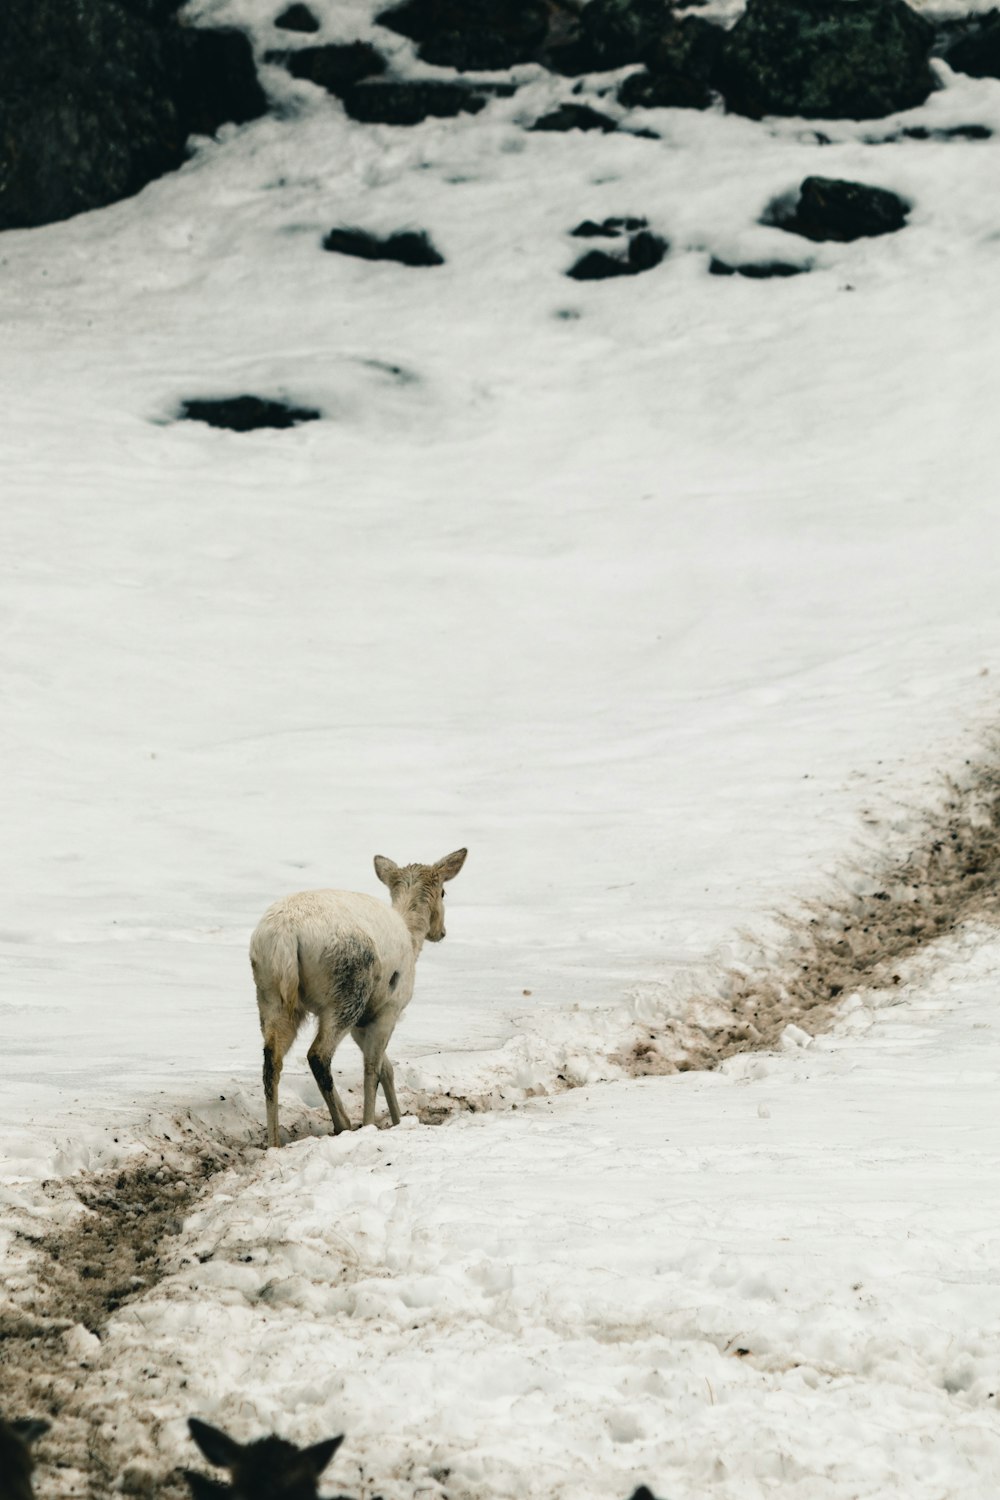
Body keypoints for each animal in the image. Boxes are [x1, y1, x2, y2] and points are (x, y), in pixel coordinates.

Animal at [250, 846, 470, 1146]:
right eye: (444, 892)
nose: (441, 932)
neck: (413, 940)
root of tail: (285, 935)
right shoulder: (388, 1008)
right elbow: (373, 1069)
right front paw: (371, 1124)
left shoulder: (363, 1021)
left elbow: (387, 1068)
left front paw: (398, 1120)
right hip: (346, 991)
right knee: (318, 1055)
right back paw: (343, 1123)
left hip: (270, 993)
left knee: (271, 1060)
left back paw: (274, 1142)